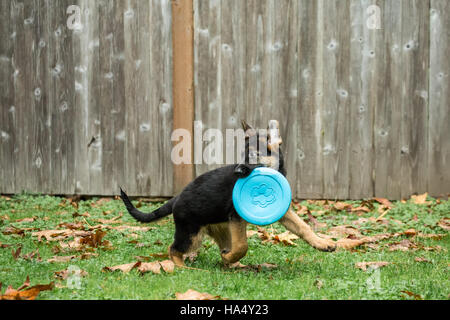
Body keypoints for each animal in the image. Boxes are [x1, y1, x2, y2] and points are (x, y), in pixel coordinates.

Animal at [119, 119, 334, 264]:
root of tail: (177, 197)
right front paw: (231, 256)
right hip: (191, 234)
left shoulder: (284, 213)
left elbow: (303, 228)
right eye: (242, 156)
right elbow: (242, 246)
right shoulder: (236, 217)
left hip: (221, 229)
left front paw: (322, 243)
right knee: (174, 249)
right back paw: (182, 268)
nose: (237, 171)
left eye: (254, 156)